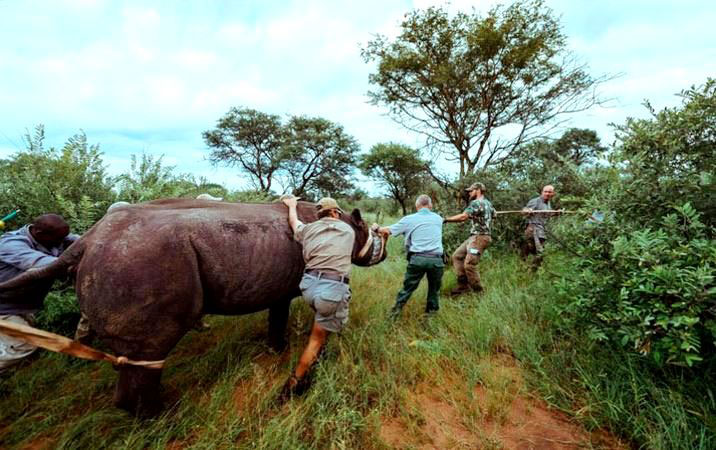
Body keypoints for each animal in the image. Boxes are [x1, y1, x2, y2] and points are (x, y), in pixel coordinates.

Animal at [0, 199, 387, 414]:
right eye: (370, 232)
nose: (383, 252)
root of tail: (86, 244)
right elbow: (281, 315)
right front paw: (280, 352)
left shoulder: (280, 284)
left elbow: (277, 315)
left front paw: (273, 350)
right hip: (144, 261)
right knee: (152, 351)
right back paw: (165, 415)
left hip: (122, 259)